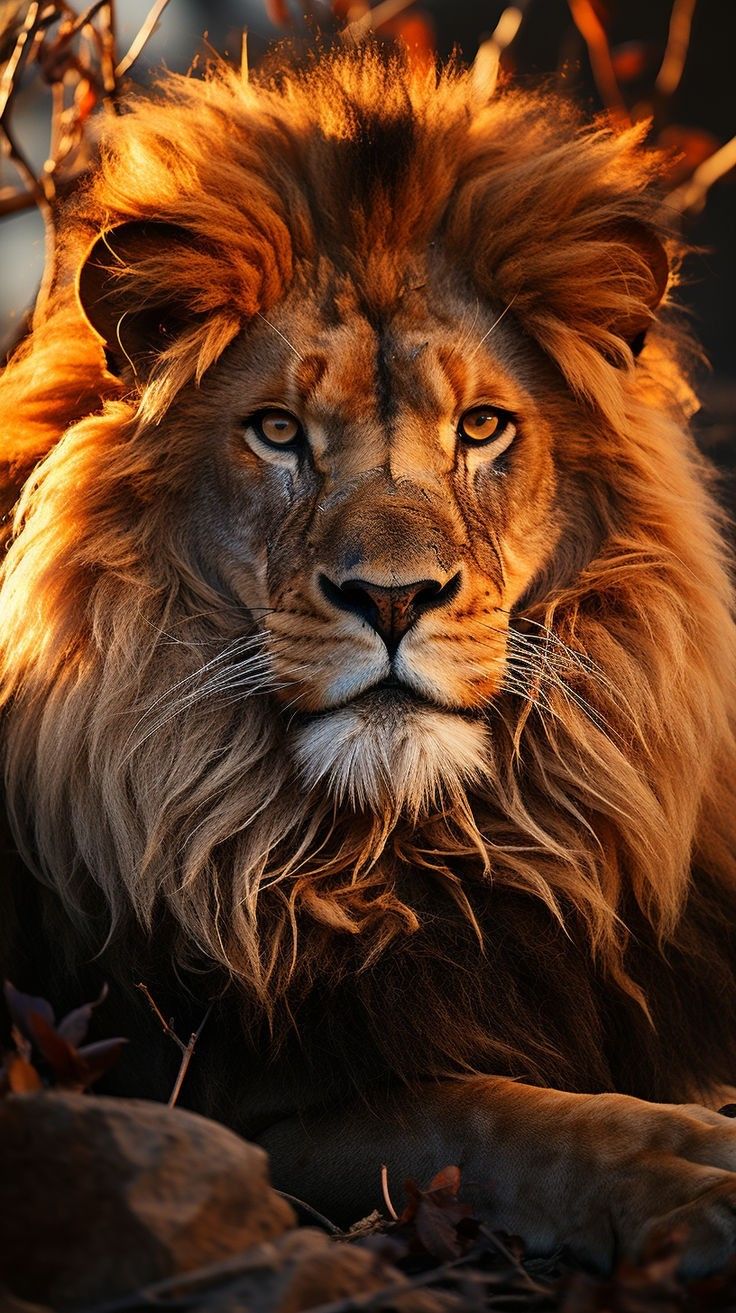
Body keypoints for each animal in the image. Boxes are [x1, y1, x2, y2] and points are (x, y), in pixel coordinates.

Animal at [1, 46, 734, 1276]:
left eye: (481, 428)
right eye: (278, 431)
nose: (393, 597)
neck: (394, 854)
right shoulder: (219, 1102)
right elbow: (489, 1115)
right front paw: (690, 1175)